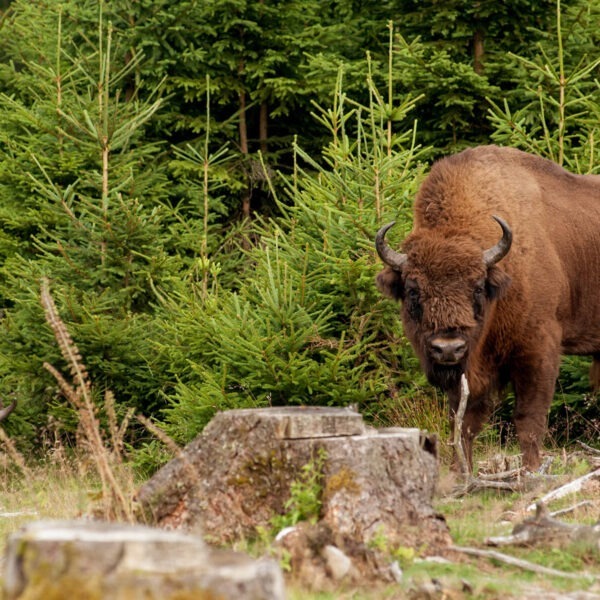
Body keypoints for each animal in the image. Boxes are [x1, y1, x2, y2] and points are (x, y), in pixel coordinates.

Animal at [376, 144, 600, 468]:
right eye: (413, 290)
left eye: (478, 286)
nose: (448, 348)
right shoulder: (468, 373)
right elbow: (463, 423)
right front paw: (463, 471)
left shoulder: (539, 350)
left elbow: (528, 421)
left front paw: (532, 471)